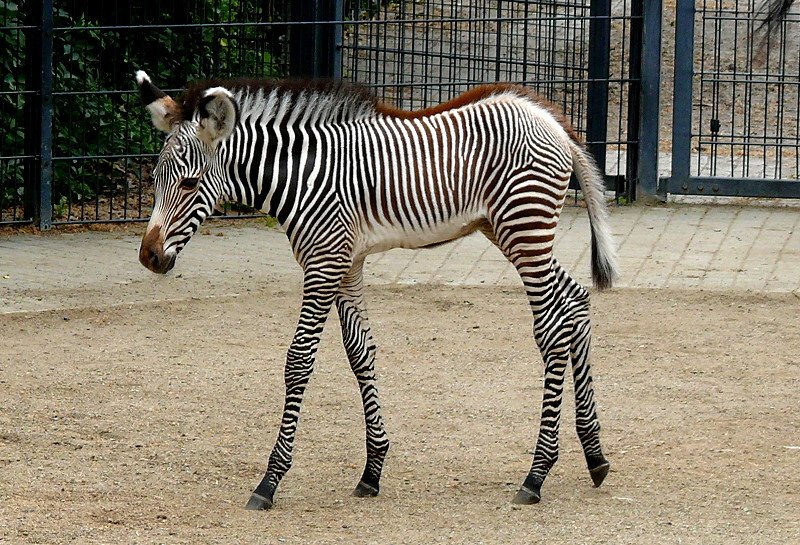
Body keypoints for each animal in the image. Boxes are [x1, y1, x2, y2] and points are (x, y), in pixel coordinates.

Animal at [136, 69, 620, 510]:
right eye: (155, 180)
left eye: (189, 183)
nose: (148, 258)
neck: (302, 176)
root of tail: (551, 118)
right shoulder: (347, 263)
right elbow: (359, 354)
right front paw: (372, 470)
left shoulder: (324, 263)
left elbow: (299, 361)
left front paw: (270, 481)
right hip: (505, 230)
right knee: (575, 301)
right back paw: (595, 455)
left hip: (525, 228)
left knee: (552, 330)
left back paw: (537, 474)